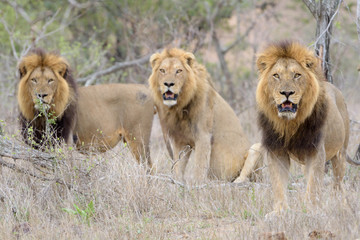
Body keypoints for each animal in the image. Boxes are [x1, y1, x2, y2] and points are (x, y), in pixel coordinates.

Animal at [256, 41, 360, 214]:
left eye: (297, 75)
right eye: (276, 75)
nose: (287, 92)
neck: (290, 123)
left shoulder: (316, 151)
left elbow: (313, 185)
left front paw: (310, 210)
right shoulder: (276, 151)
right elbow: (278, 183)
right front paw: (280, 212)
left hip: (340, 152)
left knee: (337, 183)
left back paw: (340, 205)